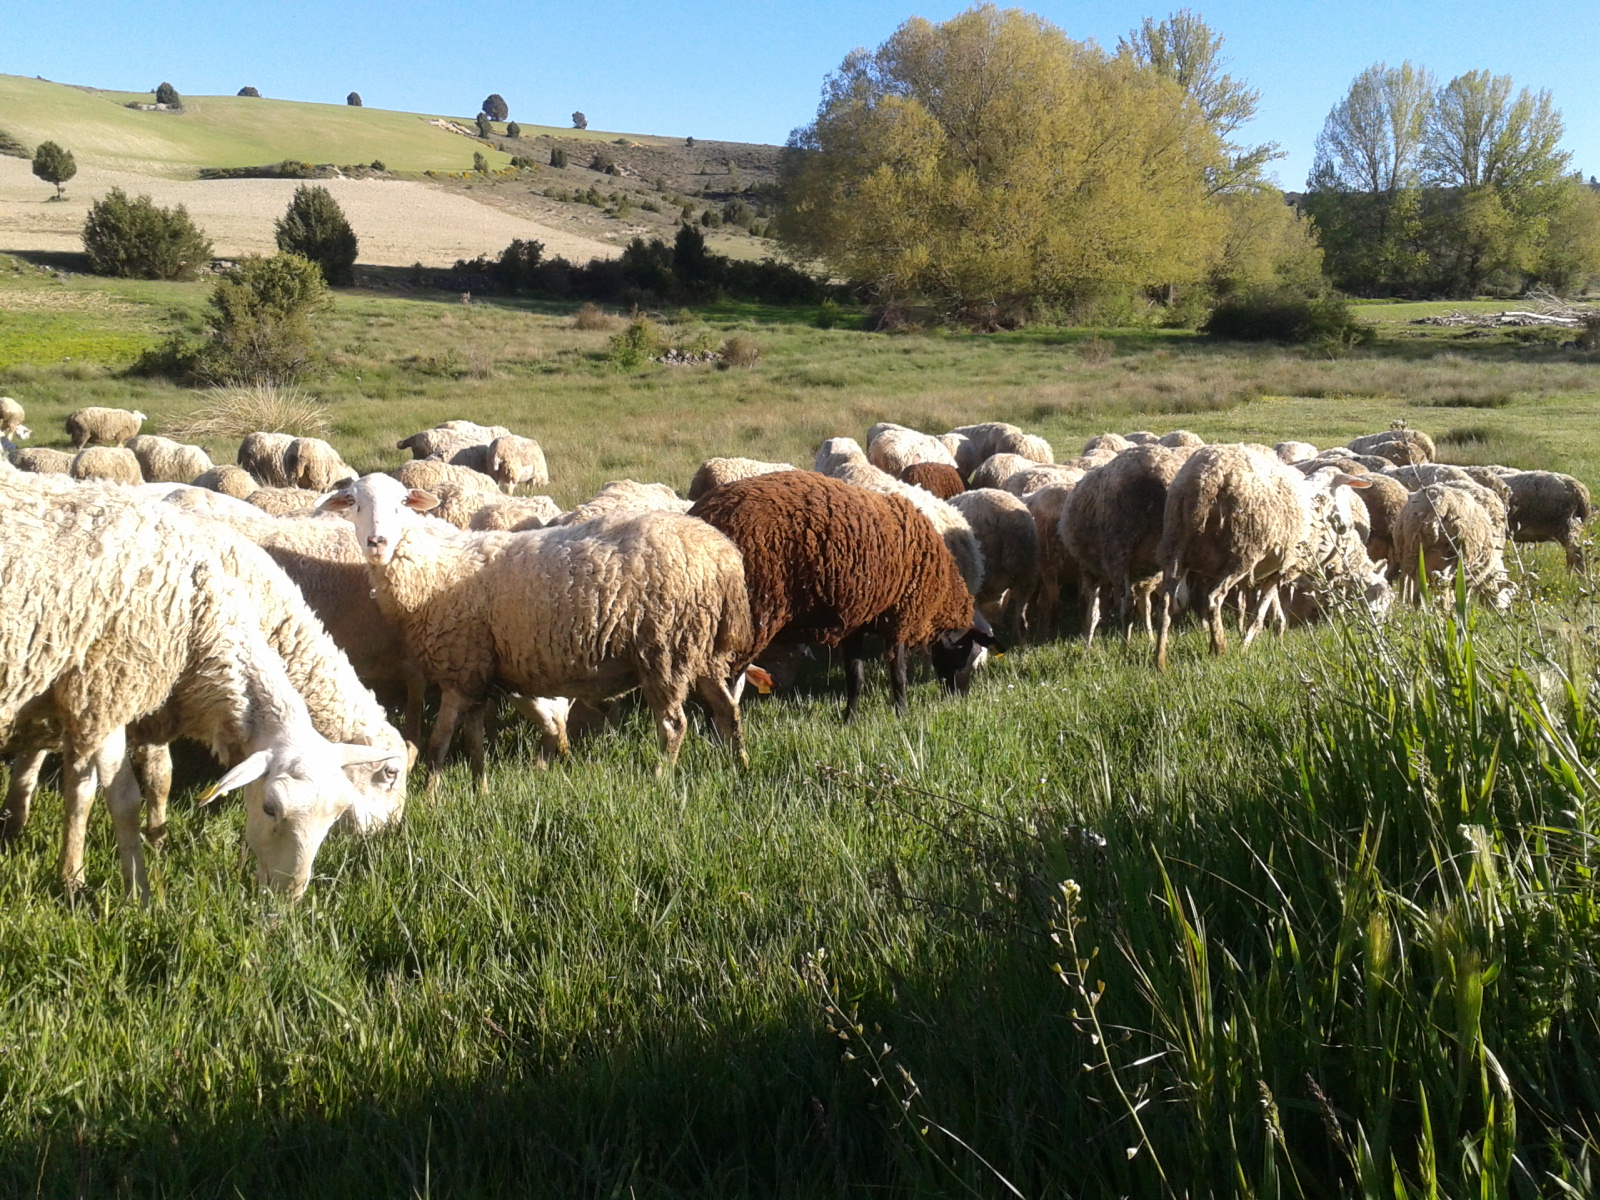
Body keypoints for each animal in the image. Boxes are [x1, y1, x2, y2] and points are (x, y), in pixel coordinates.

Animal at [0, 474, 401, 898]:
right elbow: (118, 797)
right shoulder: (107, 693)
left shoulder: (130, 701)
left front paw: (153, 841)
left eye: (335, 812)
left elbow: (145, 780)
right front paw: (125, 887)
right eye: (389, 774)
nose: (289, 896)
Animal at [322, 473, 753, 791]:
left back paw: (660, 779)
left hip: (665, 648)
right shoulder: (479, 672)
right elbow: (473, 739)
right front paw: (480, 790)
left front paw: (430, 795)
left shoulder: (459, 668)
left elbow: (439, 740)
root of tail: (723, 555)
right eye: (354, 503)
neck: (435, 566)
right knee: (727, 710)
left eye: (401, 504)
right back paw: (741, 765)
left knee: (674, 725)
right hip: (701, 649)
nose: (377, 542)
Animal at [687, 471, 994, 716]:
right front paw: (902, 714)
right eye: (965, 653)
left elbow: (855, 677)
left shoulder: (857, 622)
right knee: (723, 686)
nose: (959, 696)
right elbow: (899, 675)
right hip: (748, 621)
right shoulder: (899, 616)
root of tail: (706, 513)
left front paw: (851, 719)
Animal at [1060, 444, 1191, 643]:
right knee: (1148, 603)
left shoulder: (1092, 570)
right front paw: (1150, 637)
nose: (1182, 602)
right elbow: (1144, 606)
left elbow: (1094, 611)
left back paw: (1126, 643)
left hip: (1118, 550)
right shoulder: (1145, 574)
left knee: (1127, 603)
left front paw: (1088, 642)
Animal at [1153, 445, 1371, 668]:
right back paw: (1220, 649)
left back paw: (1160, 660)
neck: (1313, 505)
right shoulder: (1284, 568)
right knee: (1213, 599)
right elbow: (1258, 615)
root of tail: (1209, 476)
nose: (1347, 526)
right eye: (1344, 492)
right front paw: (1244, 647)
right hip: (1243, 551)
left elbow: (1273, 610)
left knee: (1166, 604)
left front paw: (1277, 637)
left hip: (1174, 546)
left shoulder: (1274, 568)